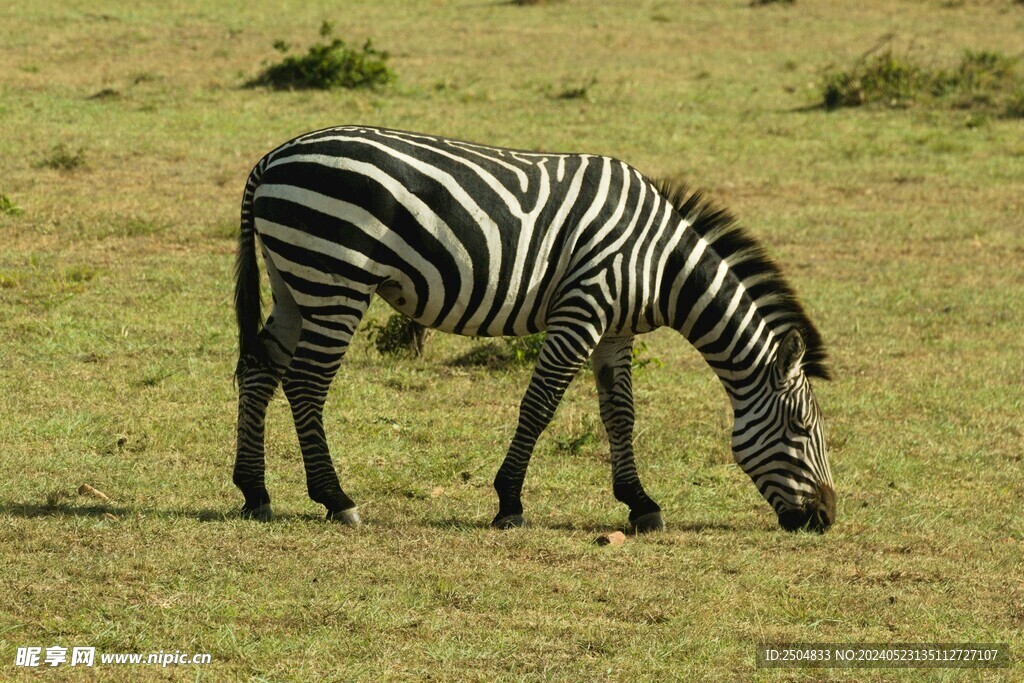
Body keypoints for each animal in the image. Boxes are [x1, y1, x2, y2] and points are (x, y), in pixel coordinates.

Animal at [235, 126, 835, 532]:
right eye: (802, 428)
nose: (826, 517)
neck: (660, 265)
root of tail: (272, 157)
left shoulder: (615, 331)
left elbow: (620, 415)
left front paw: (640, 504)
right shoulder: (583, 308)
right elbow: (540, 405)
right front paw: (509, 502)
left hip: (294, 283)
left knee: (259, 371)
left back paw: (254, 491)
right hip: (336, 279)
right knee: (306, 384)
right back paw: (336, 499)